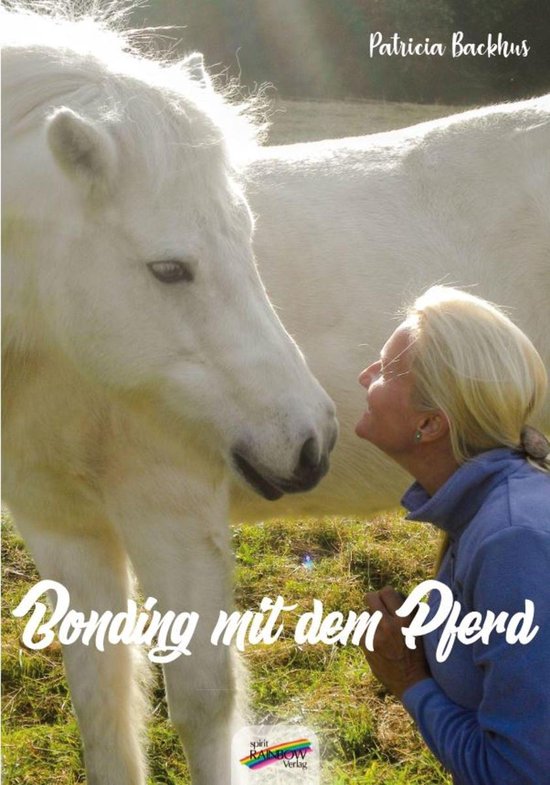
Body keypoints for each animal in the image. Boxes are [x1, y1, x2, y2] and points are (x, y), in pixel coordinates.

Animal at [1, 6, 337, 785]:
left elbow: (202, 707)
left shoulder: (173, 515)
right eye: (169, 269)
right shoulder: (65, 529)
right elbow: (104, 705)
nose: (312, 440)